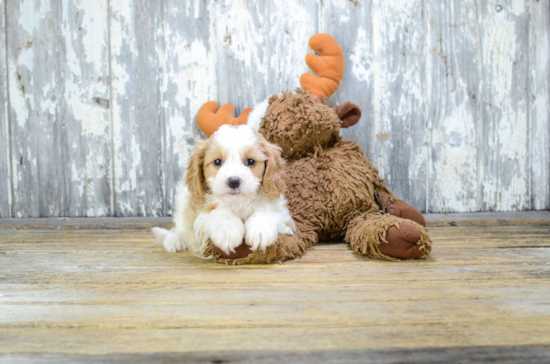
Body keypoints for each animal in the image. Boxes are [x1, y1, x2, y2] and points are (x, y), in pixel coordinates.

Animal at [151, 125, 298, 258]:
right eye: (217, 162)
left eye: (250, 161)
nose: (233, 181)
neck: (238, 202)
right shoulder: (200, 213)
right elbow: (218, 212)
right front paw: (228, 231)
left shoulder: (282, 211)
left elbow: (266, 208)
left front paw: (261, 229)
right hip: (182, 198)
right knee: (181, 226)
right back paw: (175, 239)